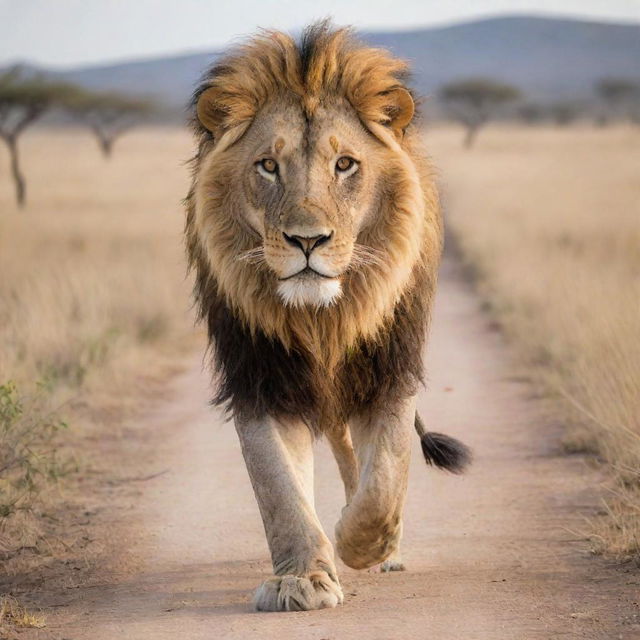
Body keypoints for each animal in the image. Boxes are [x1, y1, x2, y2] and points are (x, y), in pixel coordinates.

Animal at [185, 22, 470, 612]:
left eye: (345, 165)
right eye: (268, 165)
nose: (307, 240)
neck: (321, 321)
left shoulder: (389, 372)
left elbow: (385, 476)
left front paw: (363, 544)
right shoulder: (261, 379)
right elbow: (279, 490)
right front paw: (302, 578)